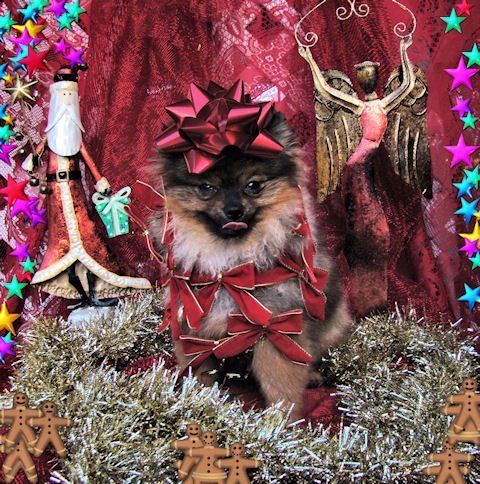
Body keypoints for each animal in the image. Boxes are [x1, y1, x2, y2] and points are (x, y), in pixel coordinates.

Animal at [150, 111, 352, 417]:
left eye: (253, 185)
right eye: (207, 188)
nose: (233, 210)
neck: (230, 268)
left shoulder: (277, 329)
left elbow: (280, 386)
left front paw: (280, 421)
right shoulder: (193, 326)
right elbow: (198, 373)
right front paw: (198, 402)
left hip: (333, 324)